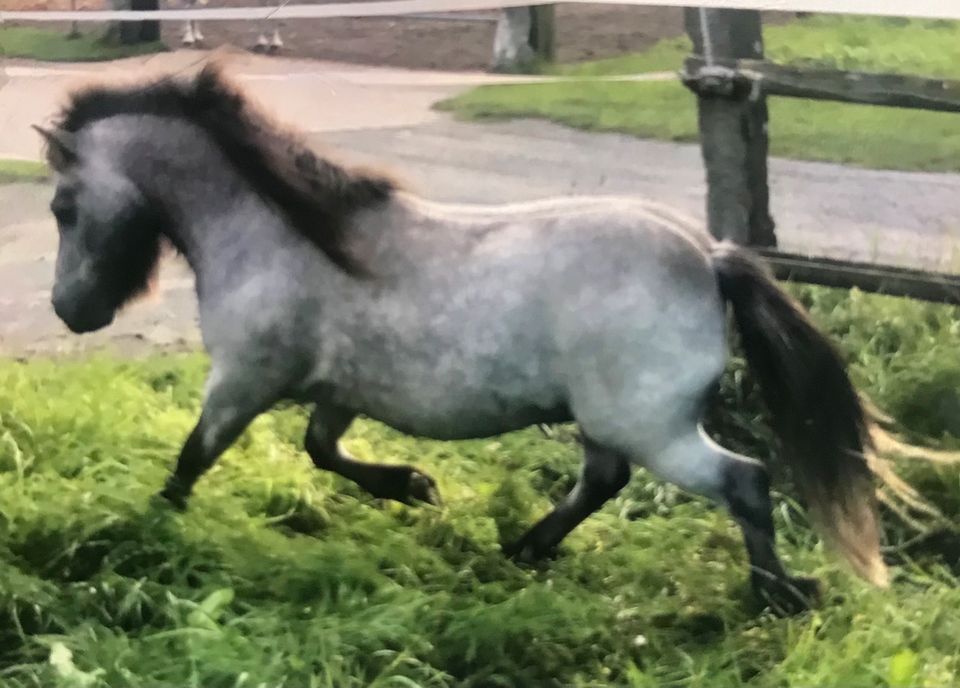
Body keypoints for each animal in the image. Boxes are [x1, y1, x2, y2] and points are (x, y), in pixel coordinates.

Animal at [35, 64, 892, 612]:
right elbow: (323, 451)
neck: (278, 234)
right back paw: (524, 549)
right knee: (603, 481)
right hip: (612, 423)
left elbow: (191, 460)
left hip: (653, 428)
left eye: (62, 207)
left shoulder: (242, 382)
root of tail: (709, 257)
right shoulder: (338, 392)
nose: (70, 311)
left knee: (742, 481)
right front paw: (415, 486)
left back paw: (775, 596)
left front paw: (147, 535)